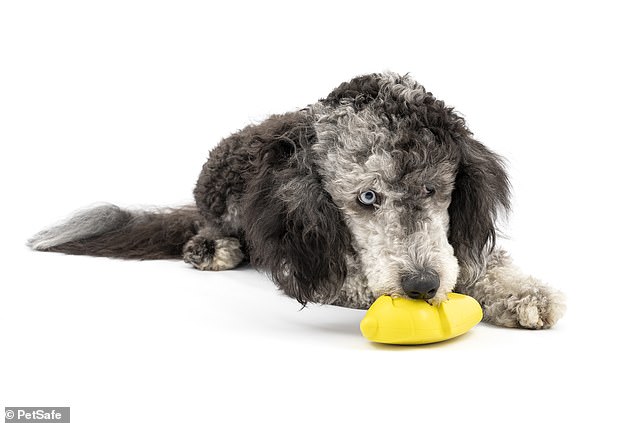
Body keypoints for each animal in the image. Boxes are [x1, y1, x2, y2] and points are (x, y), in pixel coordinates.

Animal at [29, 73, 564, 330]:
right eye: (366, 196)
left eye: (432, 190)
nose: (421, 284)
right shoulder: (313, 270)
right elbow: (361, 281)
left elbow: (484, 265)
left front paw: (523, 294)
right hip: (218, 198)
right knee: (207, 226)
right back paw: (212, 248)